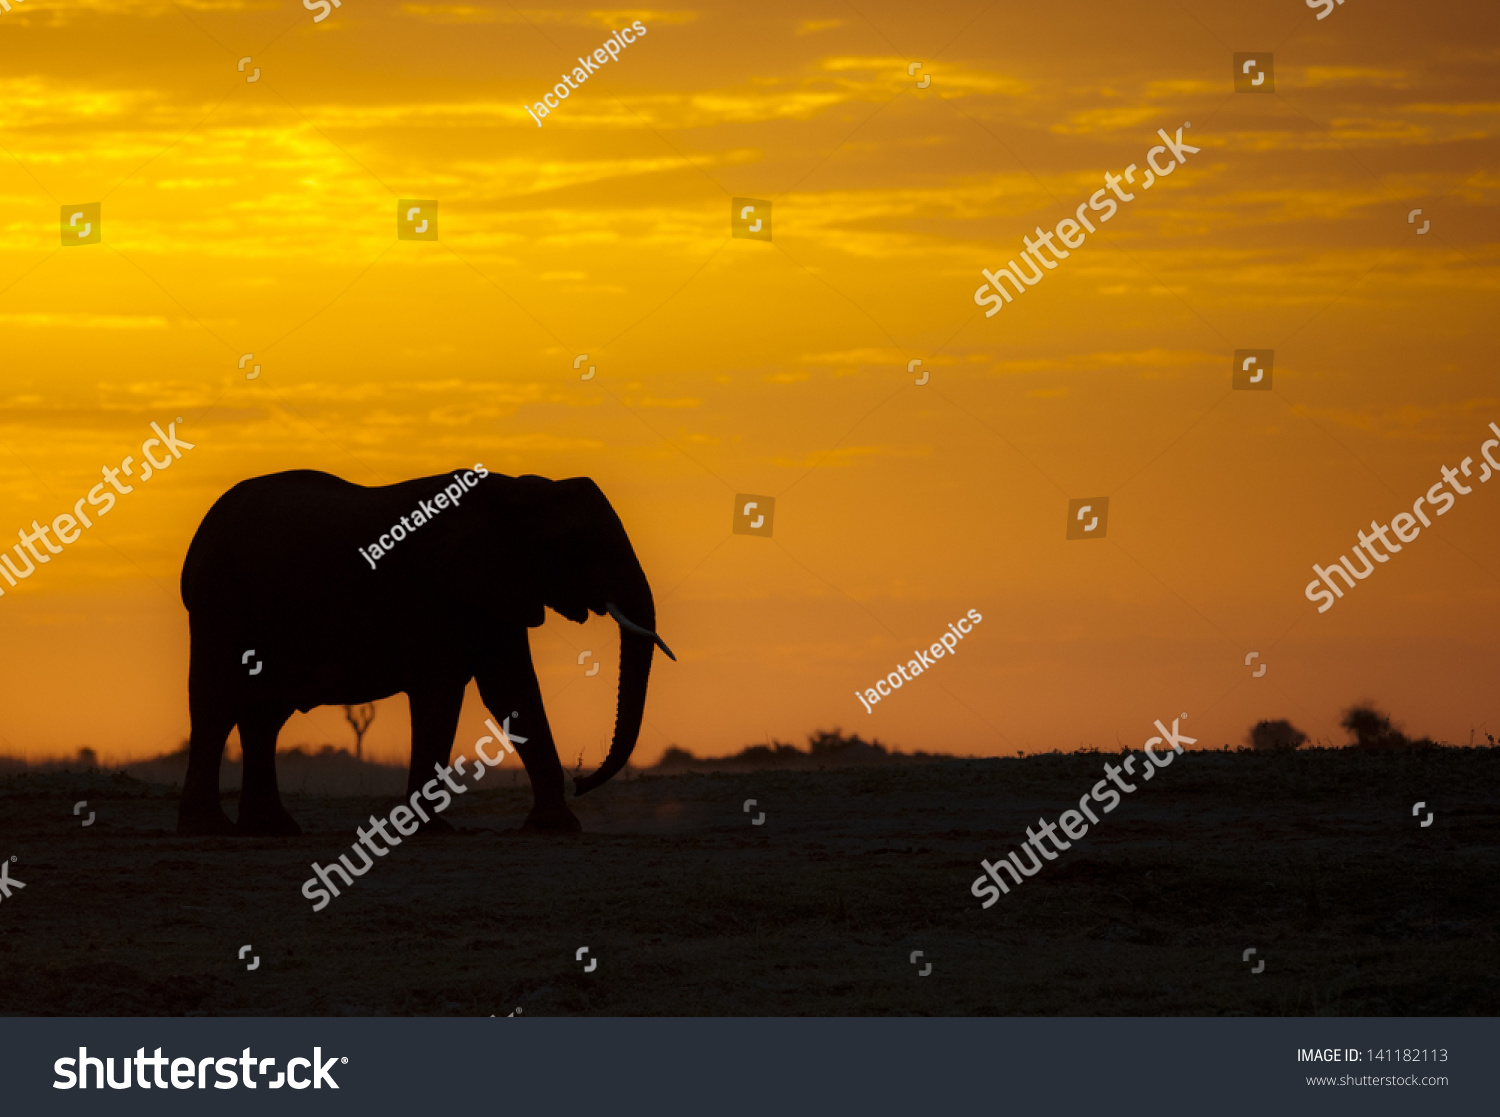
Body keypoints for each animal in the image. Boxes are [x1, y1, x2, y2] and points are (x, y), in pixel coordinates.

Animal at [175, 461, 675, 839]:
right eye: (577, 543)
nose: (582, 781)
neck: (514, 491)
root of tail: (197, 539)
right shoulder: (438, 590)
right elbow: (443, 691)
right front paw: (432, 831)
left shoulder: (495, 589)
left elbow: (512, 690)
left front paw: (556, 827)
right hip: (220, 604)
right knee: (217, 704)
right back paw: (210, 829)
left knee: (263, 714)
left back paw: (271, 829)